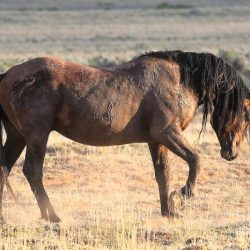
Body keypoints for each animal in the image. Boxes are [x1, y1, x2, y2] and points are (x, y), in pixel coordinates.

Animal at [0, 50, 250, 223]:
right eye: (246, 112)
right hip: (37, 136)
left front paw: (168, 211)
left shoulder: (156, 141)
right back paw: (52, 216)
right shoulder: (167, 133)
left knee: (4, 169)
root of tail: (8, 74)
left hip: (17, 137)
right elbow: (195, 160)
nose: (231, 152)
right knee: (32, 171)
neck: (178, 81)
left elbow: (163, 174)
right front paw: (184, 194)